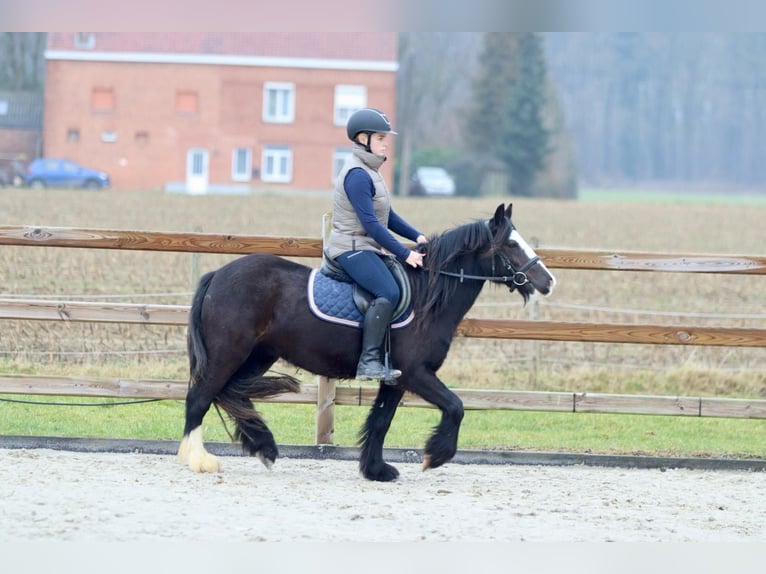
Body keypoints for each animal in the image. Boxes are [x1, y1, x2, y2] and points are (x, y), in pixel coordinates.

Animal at [180, 205, 560, 484]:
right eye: (511, 244)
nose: (548, 282)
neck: (426, 296)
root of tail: (217, 276)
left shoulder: (396, 379)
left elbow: (381, 421)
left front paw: (376, 470)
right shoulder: (416, 373)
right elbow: (455, 406)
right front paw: (434, 456)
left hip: (258, 356)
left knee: (232, 394)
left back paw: (265, 447)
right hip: (228, 353)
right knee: (201, 398)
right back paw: (199, 460)